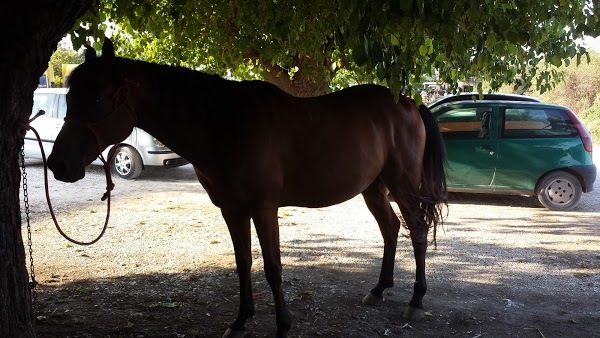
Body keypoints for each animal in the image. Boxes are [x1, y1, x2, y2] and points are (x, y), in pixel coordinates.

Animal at [48, 38, 446, 336]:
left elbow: (273, 267)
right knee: (391, 229)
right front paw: (240, 321)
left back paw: (416, 300)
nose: (58, 164)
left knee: (417, 230)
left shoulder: (263, 208)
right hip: (374, 188)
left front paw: (283, 325)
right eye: (69, 98)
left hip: (403, 185)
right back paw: (379, 290)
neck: (225, 125)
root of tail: (409, 102)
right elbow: (243, 263)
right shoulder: (232, 209)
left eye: (97, 99)